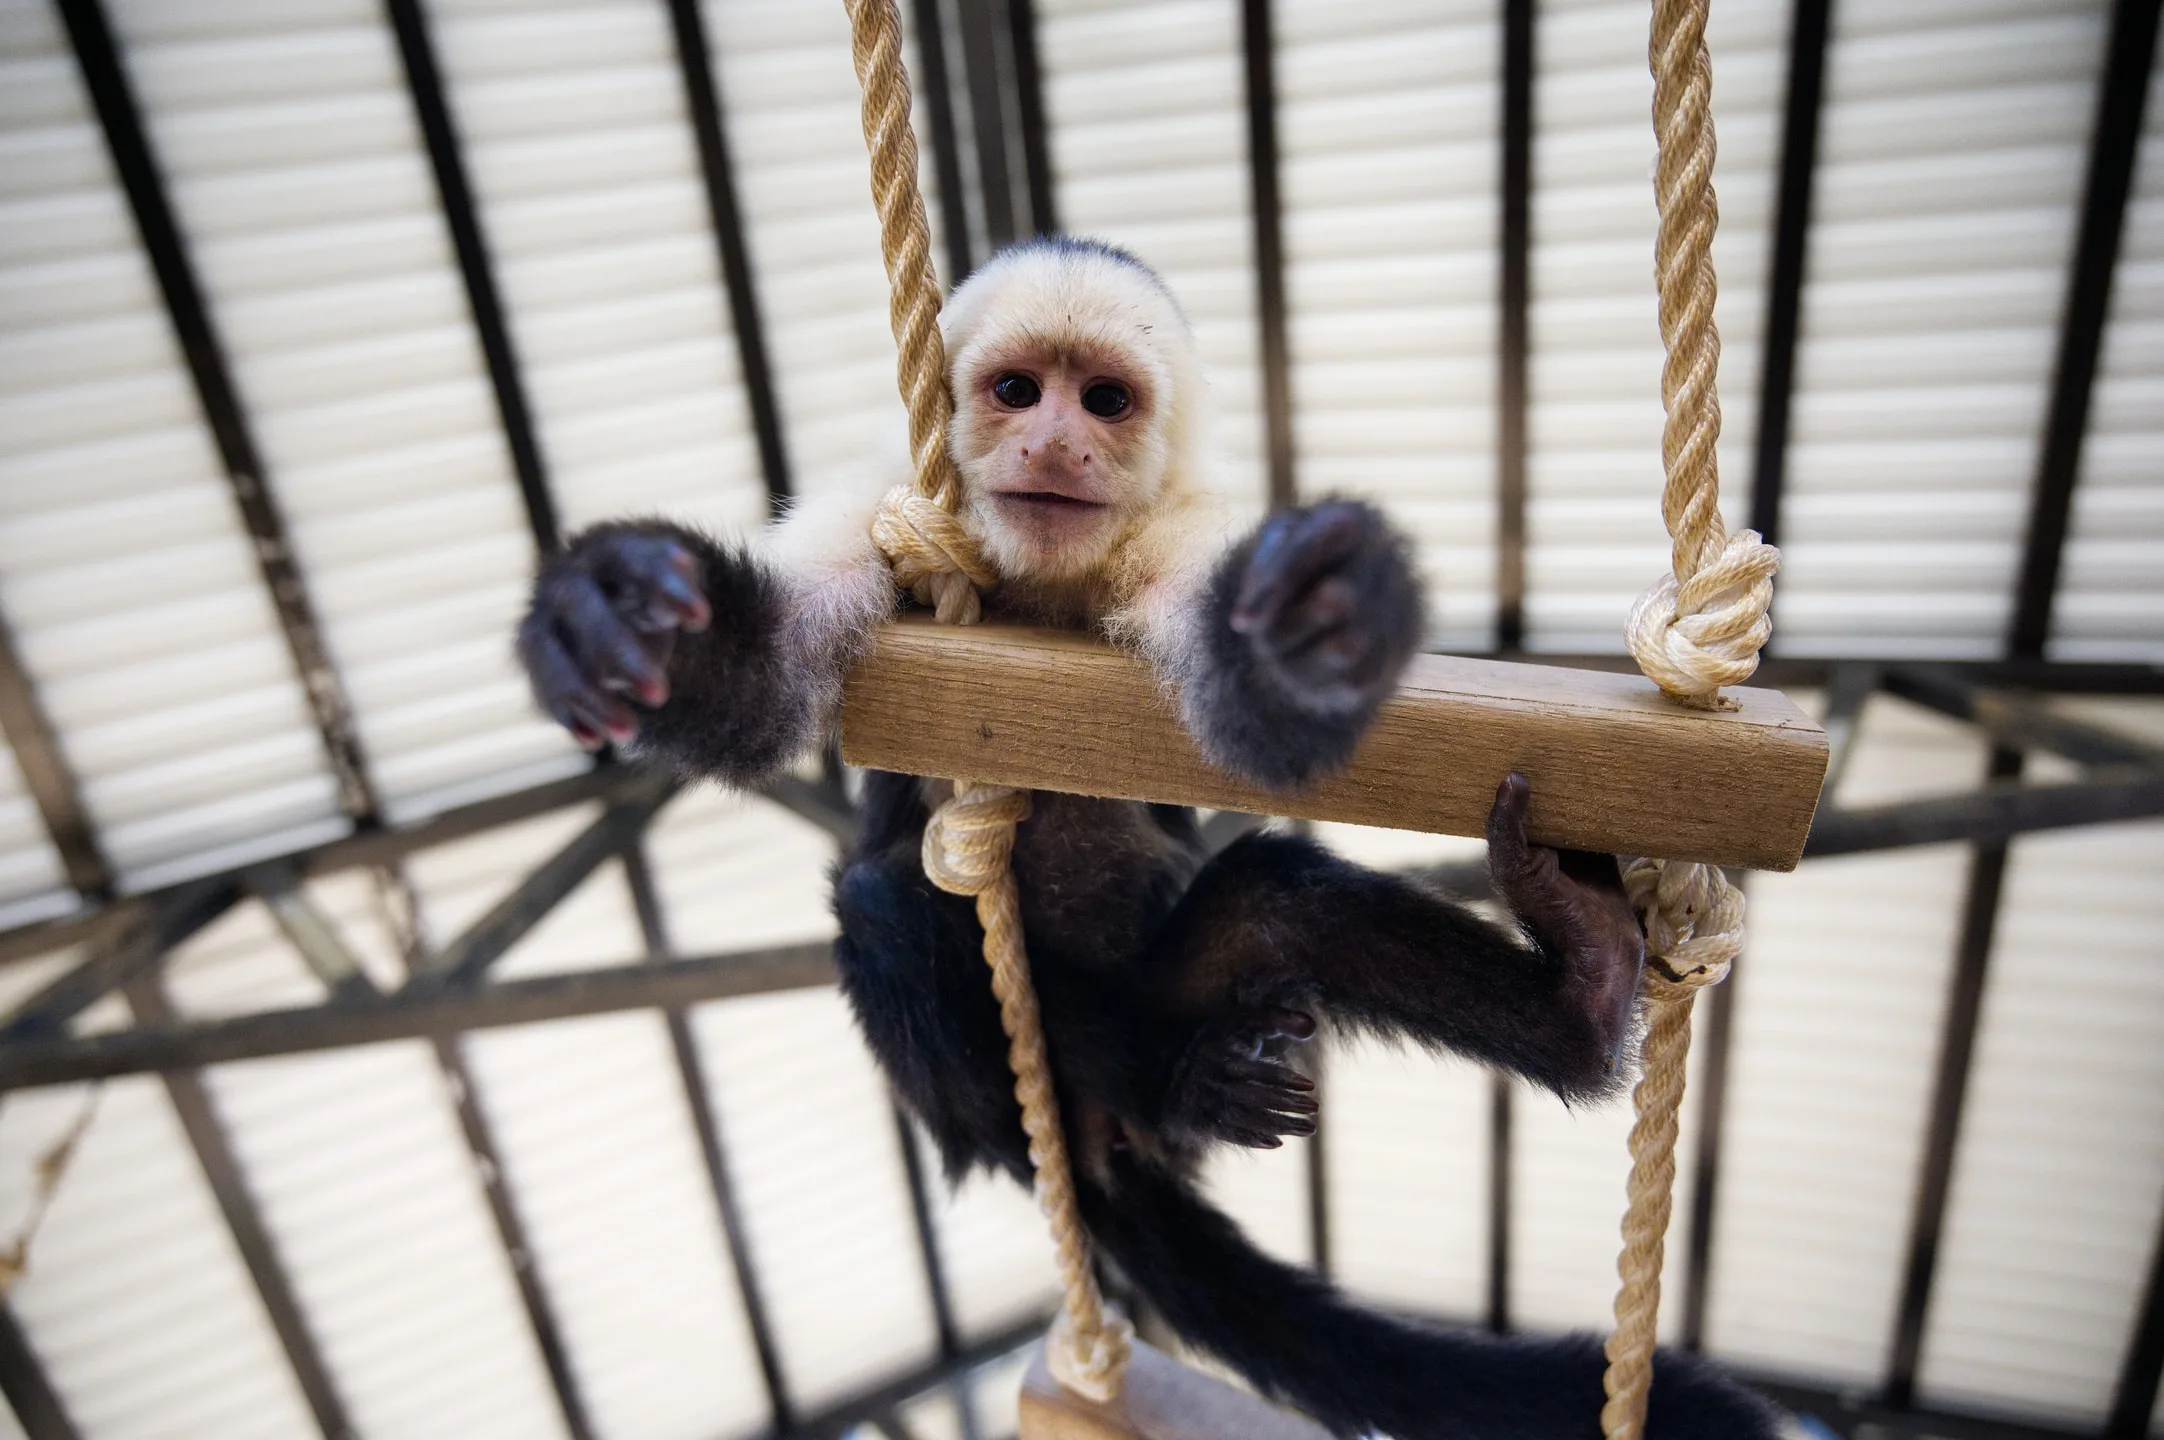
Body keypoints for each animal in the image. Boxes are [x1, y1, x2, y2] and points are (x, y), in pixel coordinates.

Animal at [517, 237, 1783, 1439]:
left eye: (1105, 400)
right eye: (1016, 391)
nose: (1055, 443)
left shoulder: (1180, 537)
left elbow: (1254, 720)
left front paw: (1331, 617)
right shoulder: (879, 504)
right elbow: (763, 684)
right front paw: (614, 612)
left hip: (1191, 986)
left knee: (1278, 902)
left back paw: (1574, 994)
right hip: (1004, 1111)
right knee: (889, 908)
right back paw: (1177, 1084)